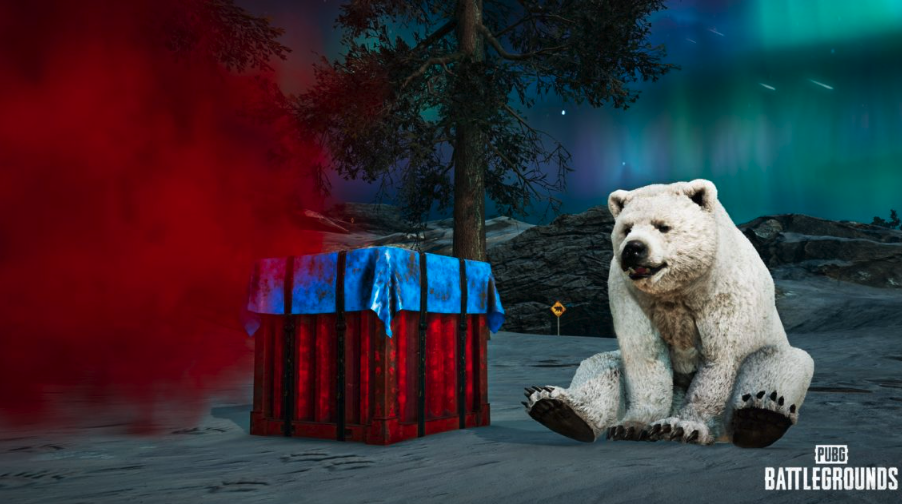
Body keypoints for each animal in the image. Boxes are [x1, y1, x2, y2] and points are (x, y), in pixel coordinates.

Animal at [523, 179, 814, 447]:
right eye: (626, 228)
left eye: (663, 226)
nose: (633, 249)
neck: (680, 289)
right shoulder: (630, 295)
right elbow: (644, 356)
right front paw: (631, 426)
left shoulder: (724, 289)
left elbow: (721, 358)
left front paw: (680, 427)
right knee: (601, 364)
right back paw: (555, 408)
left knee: (780, 361)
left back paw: (761, 414)